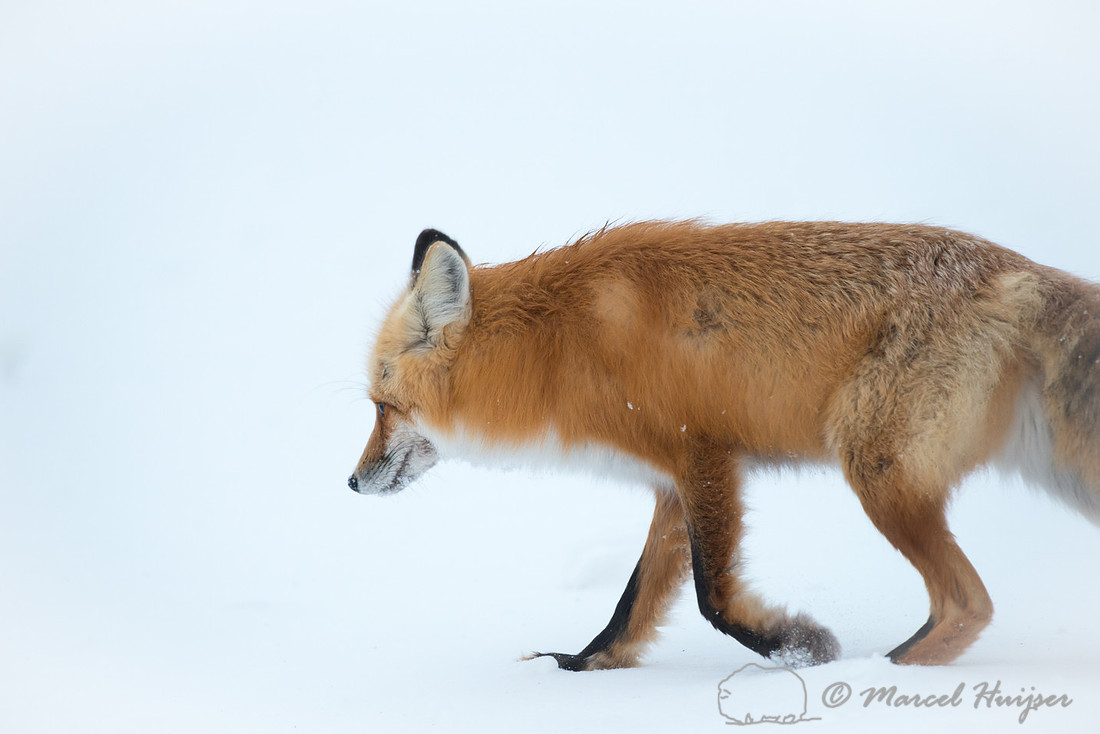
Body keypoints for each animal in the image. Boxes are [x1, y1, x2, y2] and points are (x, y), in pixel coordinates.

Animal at [348, 221, 1100, 669]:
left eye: (382, 407)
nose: (352, 483)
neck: (559, 345)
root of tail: (1017, 269)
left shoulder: (703, 456)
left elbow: (713, 597)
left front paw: (799, 646)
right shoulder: (668, 482)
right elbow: (634, 603)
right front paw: (584, 669)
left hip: (879, 473)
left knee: (970, 603)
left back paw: (882, 677)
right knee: (967, 603)